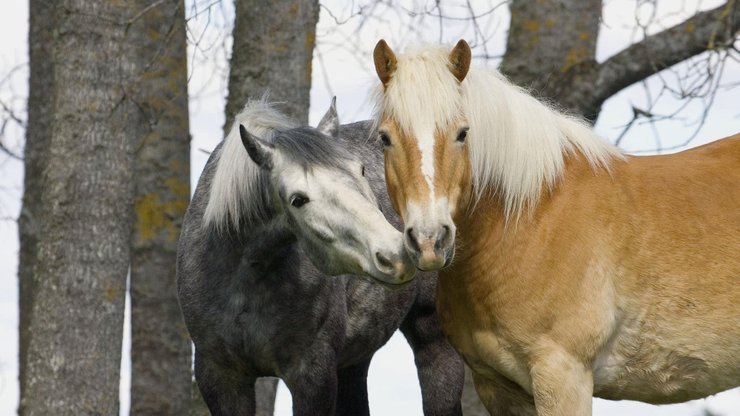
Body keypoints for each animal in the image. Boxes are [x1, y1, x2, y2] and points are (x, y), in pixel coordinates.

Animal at [176, 99, 462, 414]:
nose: (396, 254)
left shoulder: (313, 373)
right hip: (353, 361)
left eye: (361, 170)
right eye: (298, 200)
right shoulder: (221, 377)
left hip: (433, 340)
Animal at [372, 39, 740, 416]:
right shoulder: (498, 388)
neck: (531, 217)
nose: (430, 240)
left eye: (462, 133)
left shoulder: (562, 374)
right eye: (385, 138)